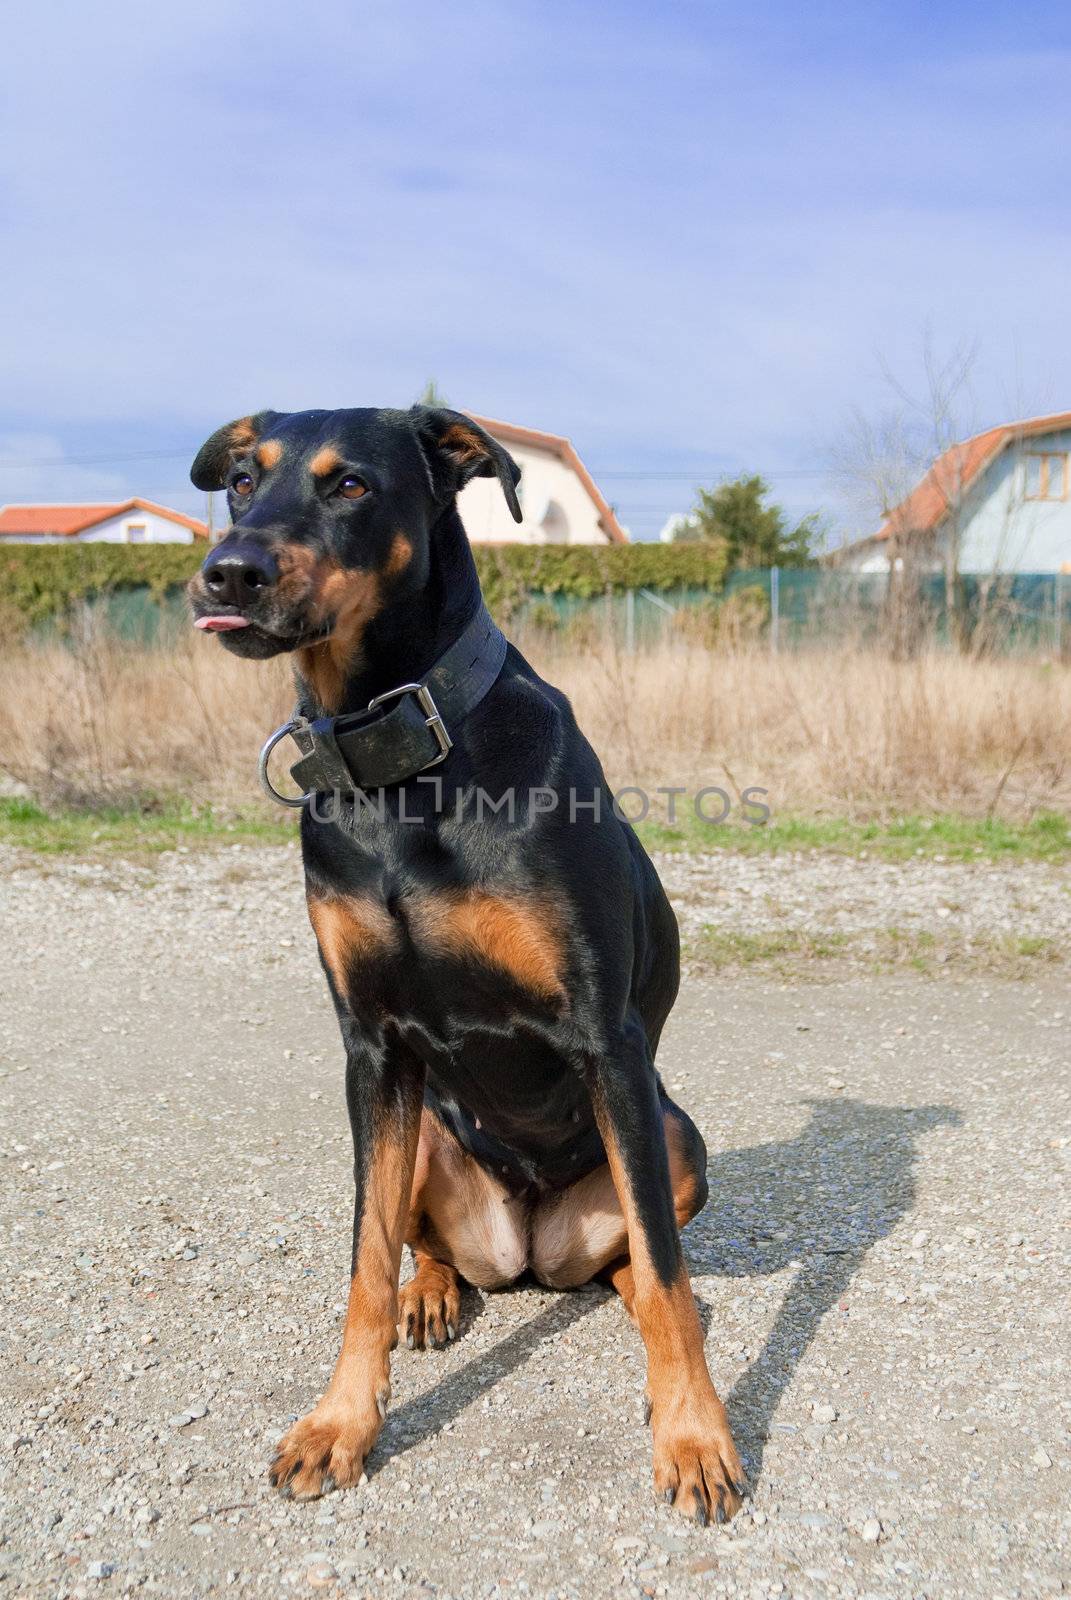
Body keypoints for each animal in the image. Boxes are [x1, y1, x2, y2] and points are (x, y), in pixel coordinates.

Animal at [185, 403, 742, 1523]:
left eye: (350, 485)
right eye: (242, 483)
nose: (226, 574)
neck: (397, 765)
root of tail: (527, 1251)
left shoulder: (607, 1042)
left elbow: (665, 1272)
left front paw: (695, 1437)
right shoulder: (370, 1050)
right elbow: (361, 1260)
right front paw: (338, 1424)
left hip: (672, 1135)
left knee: (641, 1259)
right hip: (430, 1140)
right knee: (422, 1241)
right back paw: (435, 1292)